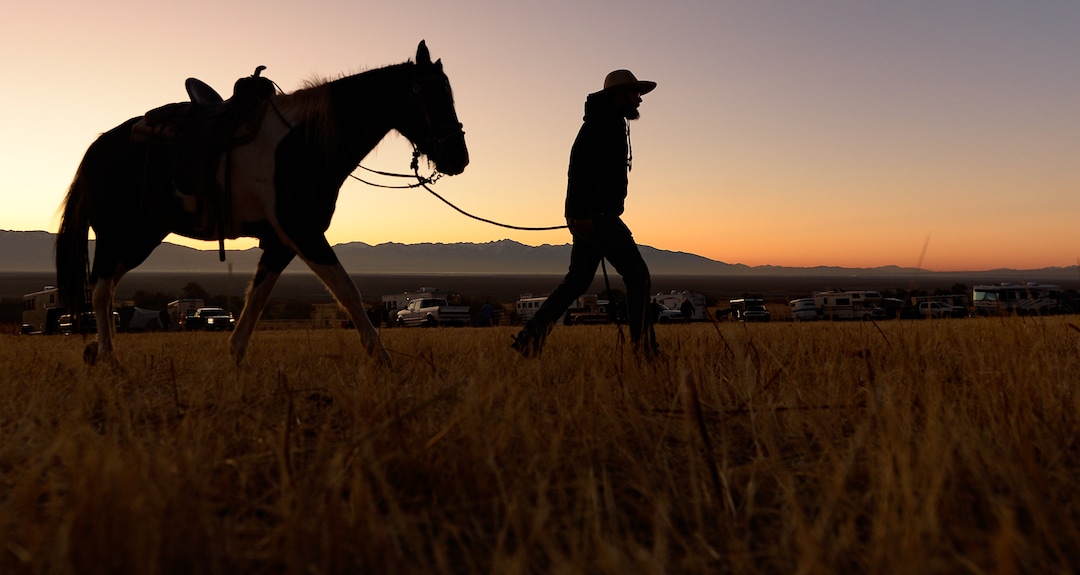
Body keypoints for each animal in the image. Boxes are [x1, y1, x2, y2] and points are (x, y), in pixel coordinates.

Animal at [56, 41, 469, 367]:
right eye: (431, 94)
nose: (459, 158)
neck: (302, 143)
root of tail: (97, 147)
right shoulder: (303, 231)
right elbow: (347, 291)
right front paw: (381, 358)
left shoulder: (280, 240)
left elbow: (257, 296)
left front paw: (236, 355)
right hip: (119, 233)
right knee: (101, 288)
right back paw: (110, 358)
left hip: (141, 235)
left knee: (106, 284)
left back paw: (98, 351)